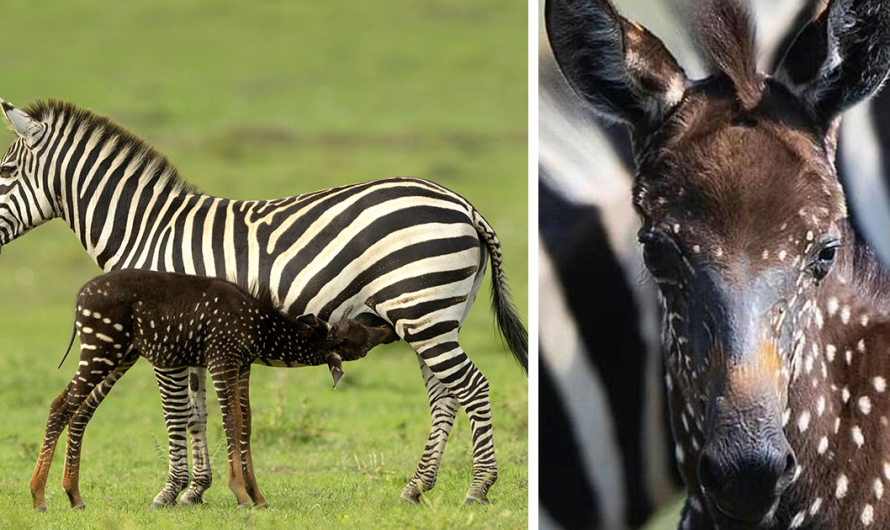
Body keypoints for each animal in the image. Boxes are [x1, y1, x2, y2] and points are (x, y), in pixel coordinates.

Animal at [30, 270, 396, 510]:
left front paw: (257, 496)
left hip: (121, 355)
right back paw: (38, 495)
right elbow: (231, 420)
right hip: (102, 348)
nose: (387, 328)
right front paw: (240, 493)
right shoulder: (221, 359)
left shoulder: (242, 365)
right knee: (60, 405)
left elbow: (245, 422)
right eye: (357, 336)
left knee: (79, 410)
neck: (262, 327)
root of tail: (81, 297)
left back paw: (74, 496)